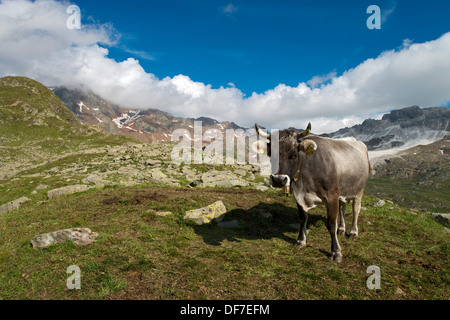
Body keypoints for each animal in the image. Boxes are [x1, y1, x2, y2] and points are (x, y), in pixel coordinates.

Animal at [255, 122, 370, 262]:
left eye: (294, 155)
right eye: (271, 154)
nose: (278, 180)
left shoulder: (332, 196)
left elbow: (331, 223)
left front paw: (336, 251)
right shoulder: (299, 195)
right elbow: (303, 218)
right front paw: (301, 241)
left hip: (359, 189)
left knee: (355, 209)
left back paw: (353, 232)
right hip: (344, 189)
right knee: (343, 208)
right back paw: (342, 229)